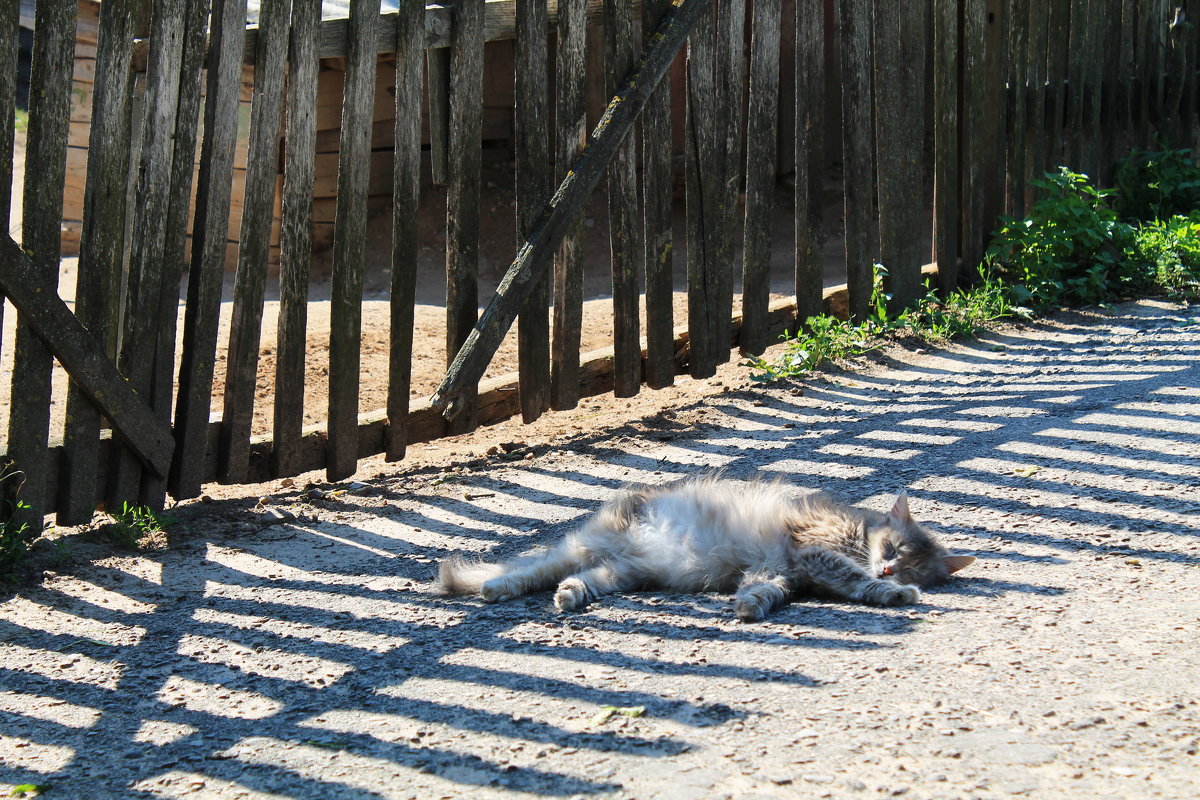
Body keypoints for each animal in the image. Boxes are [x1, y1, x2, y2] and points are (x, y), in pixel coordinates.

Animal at [441, 474, 974, 618]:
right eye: (894, 551)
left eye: (913, 565)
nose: (890, 572)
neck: (856, 529)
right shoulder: (812, 552)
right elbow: (855, 579)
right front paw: (891, 594)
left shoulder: (782, 570)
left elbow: (766, 591)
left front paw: (748, 607)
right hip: (589, 547)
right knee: (533, 569)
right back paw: (495, 588)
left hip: (623, 573)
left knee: (579, 580)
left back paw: (570, 596)